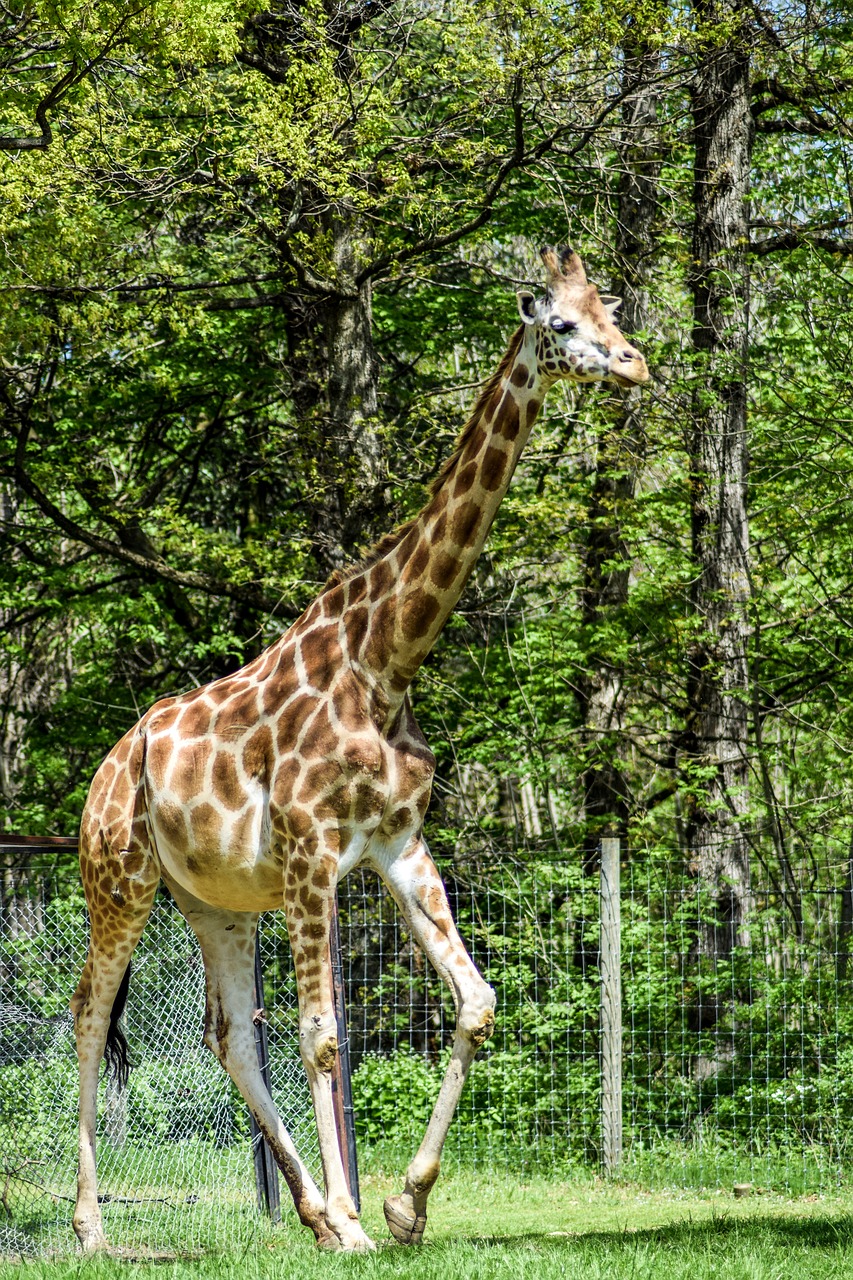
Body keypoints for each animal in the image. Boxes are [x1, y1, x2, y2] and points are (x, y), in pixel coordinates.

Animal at [71, 244, 645, 1254]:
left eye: (610, 312)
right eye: (562, 324)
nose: (635, 365)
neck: (387, 658)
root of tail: (105, 772)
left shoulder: (398, 843)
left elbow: (474, 1002)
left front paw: (400, 1206)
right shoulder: (311, 852)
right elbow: (325, 1034)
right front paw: (358, 1219)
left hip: (214, 903)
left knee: (228, 1034)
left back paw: (306, 1210)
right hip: (122, 882)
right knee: (91, 1017)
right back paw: (95, 1229)